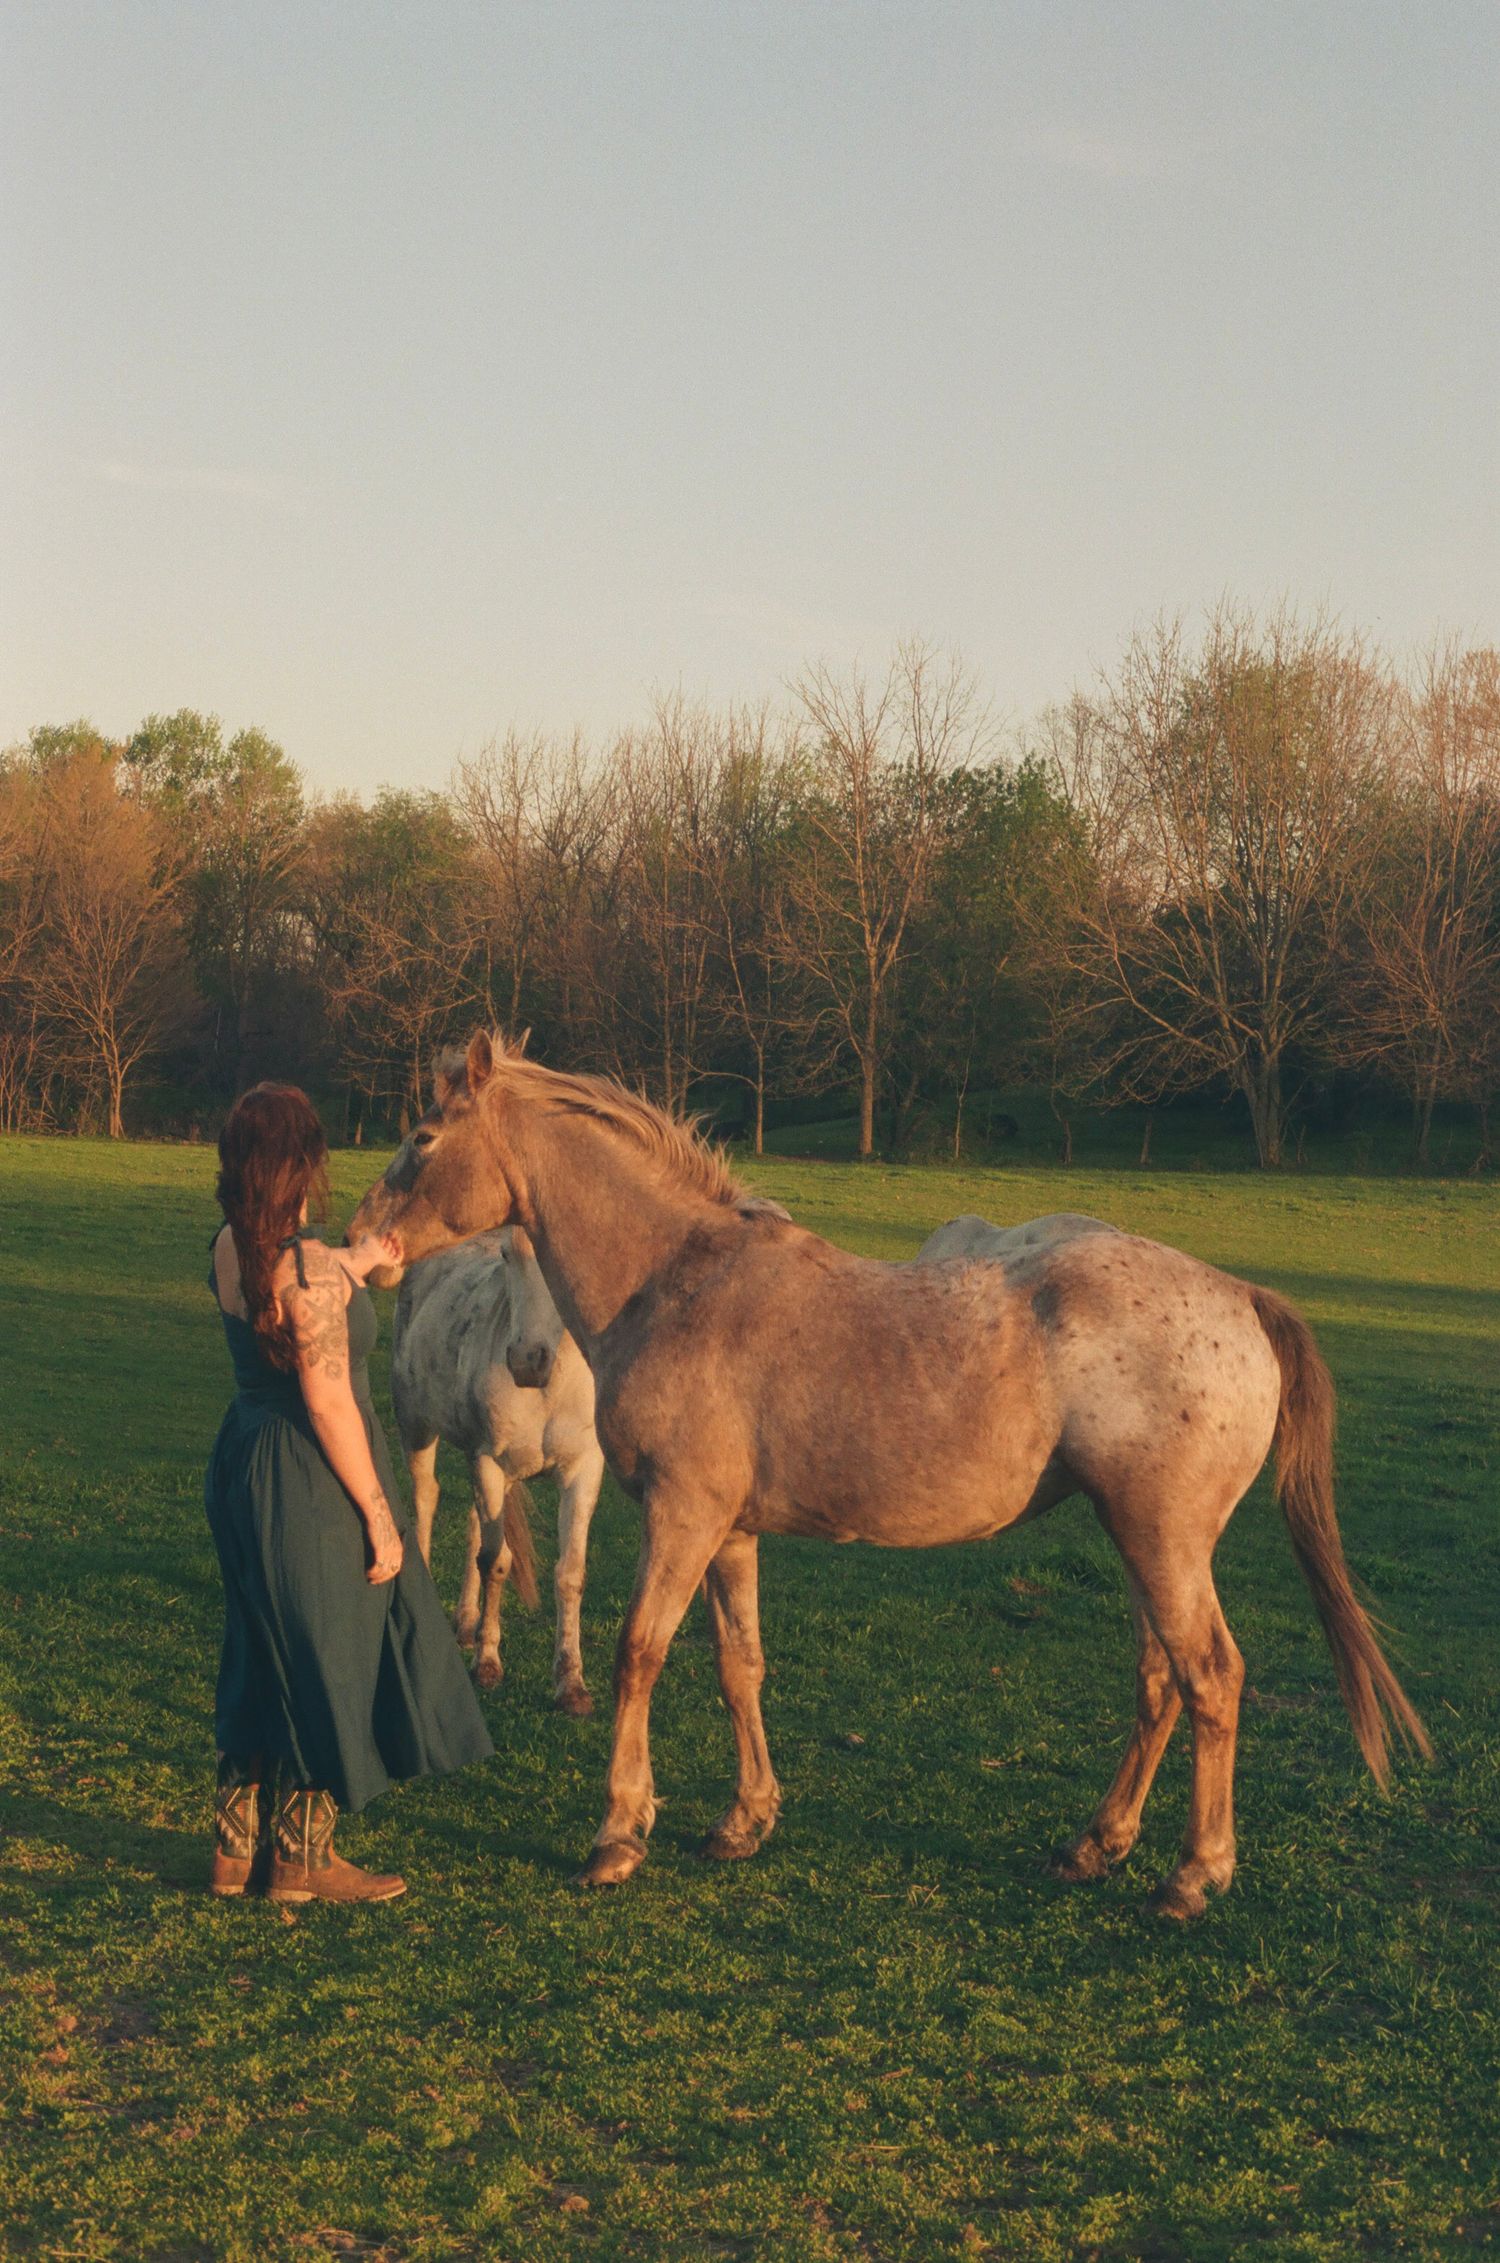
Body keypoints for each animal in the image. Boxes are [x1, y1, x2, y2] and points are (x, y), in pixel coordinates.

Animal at [381, 1225, 605, 1714]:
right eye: (507, 1255)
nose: (526, 1359)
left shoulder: (582, 1471)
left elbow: (570, 1573)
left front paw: (572, 1682)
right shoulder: (488, 1461)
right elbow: (496, 1563)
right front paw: (487, 1663)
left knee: (471, 1523)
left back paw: (465, 1622)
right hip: (416, 1427)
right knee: (426, 1500)